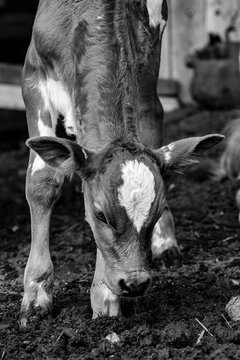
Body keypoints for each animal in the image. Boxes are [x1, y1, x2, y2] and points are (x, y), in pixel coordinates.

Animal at [20, 0, 223, 326]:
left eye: (155, 213)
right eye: (100, 215)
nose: (135, 283)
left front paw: (105, 298)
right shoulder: (33, 74)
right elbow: (42, 183)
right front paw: (36, 292)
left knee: (152, 111)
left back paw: (165, 241)